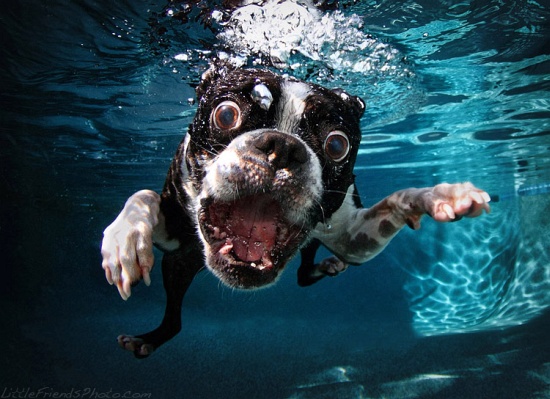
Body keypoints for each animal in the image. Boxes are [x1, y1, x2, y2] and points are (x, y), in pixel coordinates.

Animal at [100, 63, 492, 360]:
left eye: (337, 144)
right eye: (226, 114)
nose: (283, 147)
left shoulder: (355, 240)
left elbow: (399, 198)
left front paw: (441, 195)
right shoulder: (172, 235)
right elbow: (143, 194)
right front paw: (124, 241)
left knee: (305, 273)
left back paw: (326, 266)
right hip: (178, 263)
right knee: (176, 316)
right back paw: (147, 339)